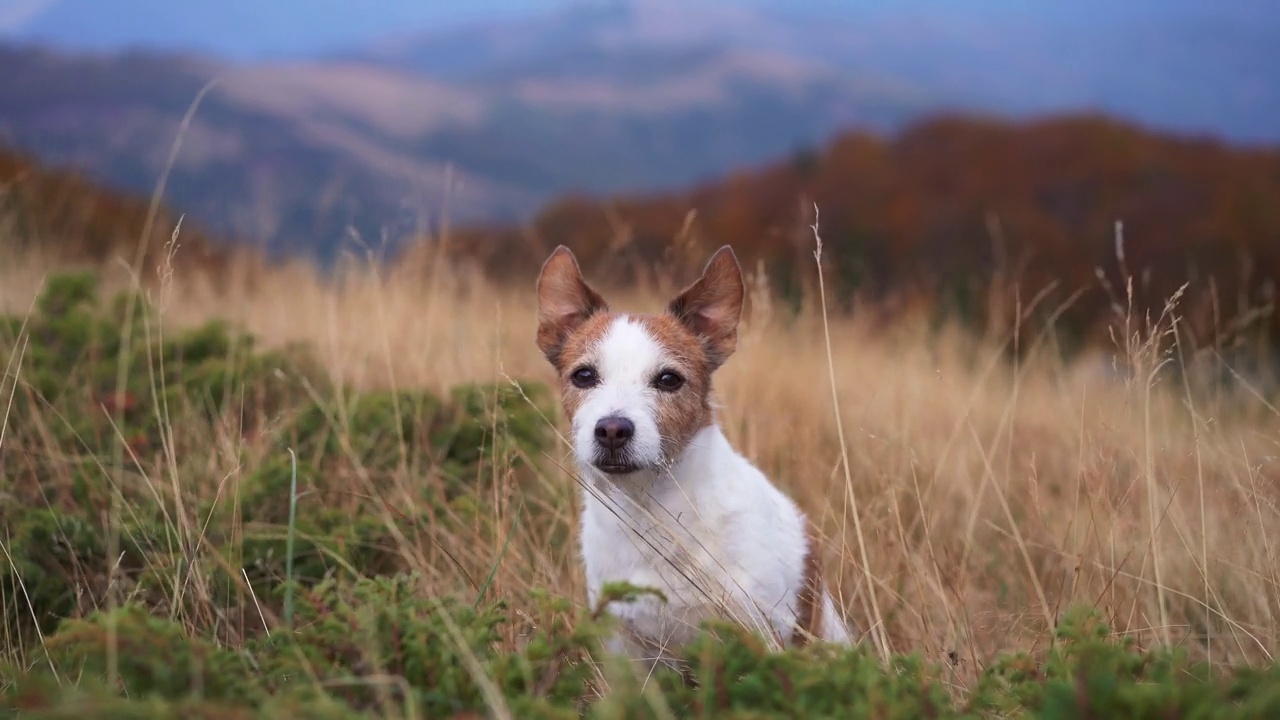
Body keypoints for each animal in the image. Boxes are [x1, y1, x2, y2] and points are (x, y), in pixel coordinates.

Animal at [535, 243, 855, 671]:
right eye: (584, 376)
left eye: (669, 379)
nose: (613, 430)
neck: (653, 510)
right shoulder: (622, 645)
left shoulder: (762, 628)